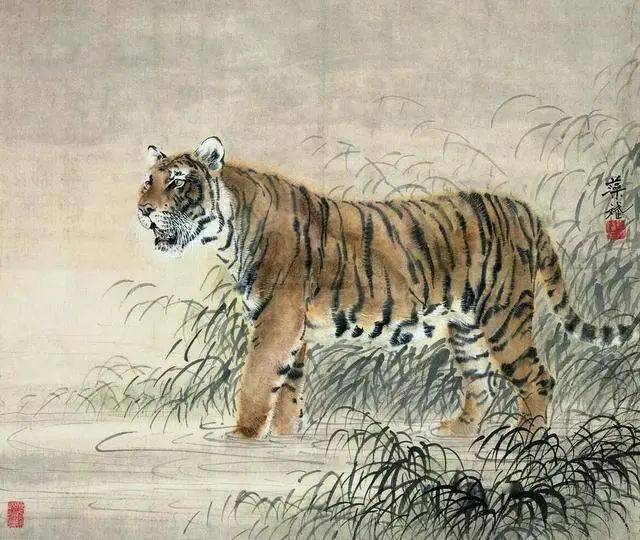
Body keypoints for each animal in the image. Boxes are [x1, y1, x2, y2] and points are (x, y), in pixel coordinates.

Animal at [137, 136, 637, 439]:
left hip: (505, 317)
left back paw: (526, 440)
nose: (143, 210)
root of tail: (524, 208)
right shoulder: (293, 329)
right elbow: (287, 391)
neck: (227, 230)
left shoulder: (276, 323)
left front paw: (240, 436)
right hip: (468, 329)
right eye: (148, 180)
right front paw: (282, 436)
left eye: (177, 182)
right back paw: (459, 431)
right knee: (482, 385)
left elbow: (256, 383)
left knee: (537, 378)